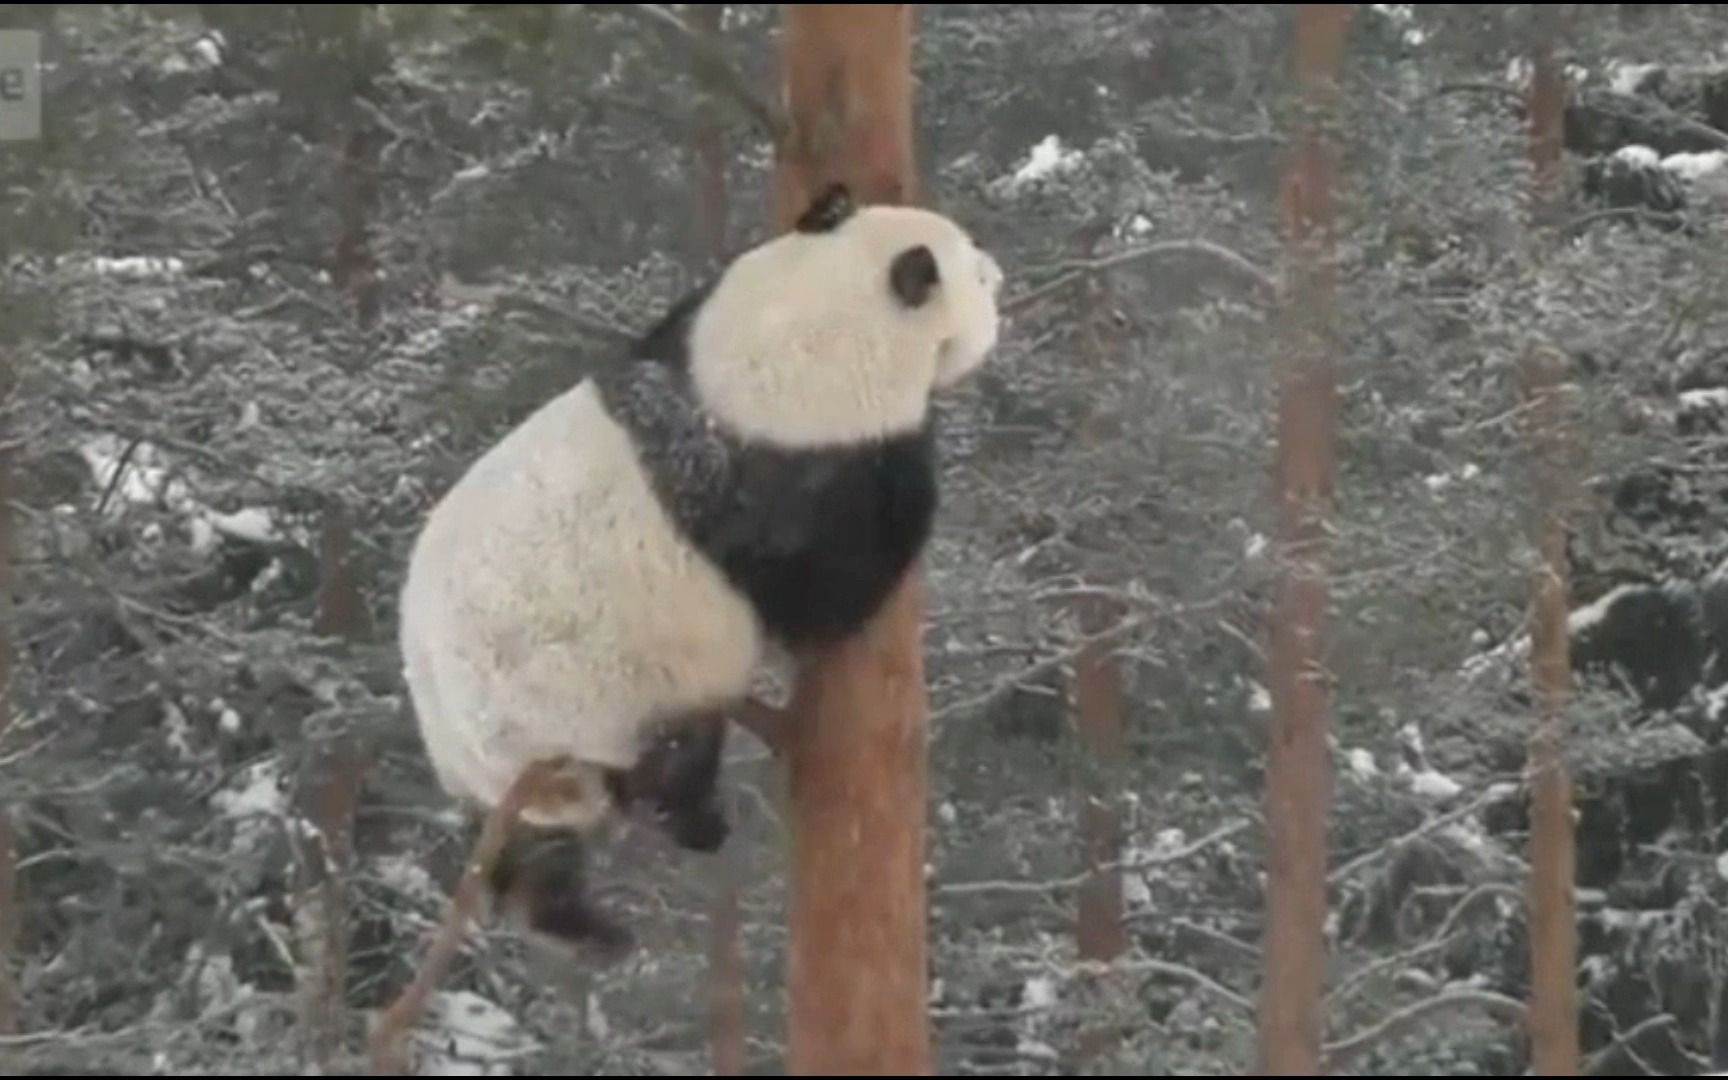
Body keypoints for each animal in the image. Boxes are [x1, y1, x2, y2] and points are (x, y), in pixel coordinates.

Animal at [395, 184, 1009, 953]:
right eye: (976, 276)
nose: (1001, 278)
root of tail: (478, 751)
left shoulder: (679, 338)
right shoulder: (794, 478)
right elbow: (830, 591)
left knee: (529, 847)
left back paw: (568, 921)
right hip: (598, 694)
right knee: (670, 760)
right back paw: (690, 827)